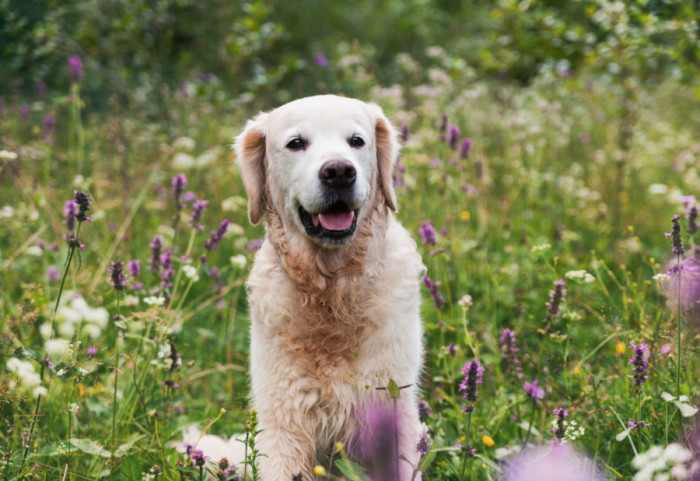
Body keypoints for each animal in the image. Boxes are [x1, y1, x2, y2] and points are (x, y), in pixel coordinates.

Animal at [191, 94, 424, 480]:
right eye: (296, 143)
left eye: (356, 141)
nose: (339, 172)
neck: (332, 291)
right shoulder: (283, 417)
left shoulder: (393, 408)